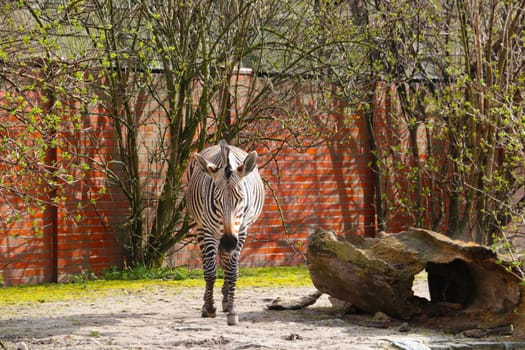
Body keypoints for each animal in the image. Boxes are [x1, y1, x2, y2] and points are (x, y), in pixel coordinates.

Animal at [185, 139, 266, 326]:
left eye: (241, 198)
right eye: (216, 199)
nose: (228, 242)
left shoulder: (241, 231)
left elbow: (232, 271)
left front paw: (232, 309)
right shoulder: (209, 231)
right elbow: (210, 271)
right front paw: (209, 307)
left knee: (228, 263)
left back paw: (227, 299)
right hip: (202, 228)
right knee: (210, 262)